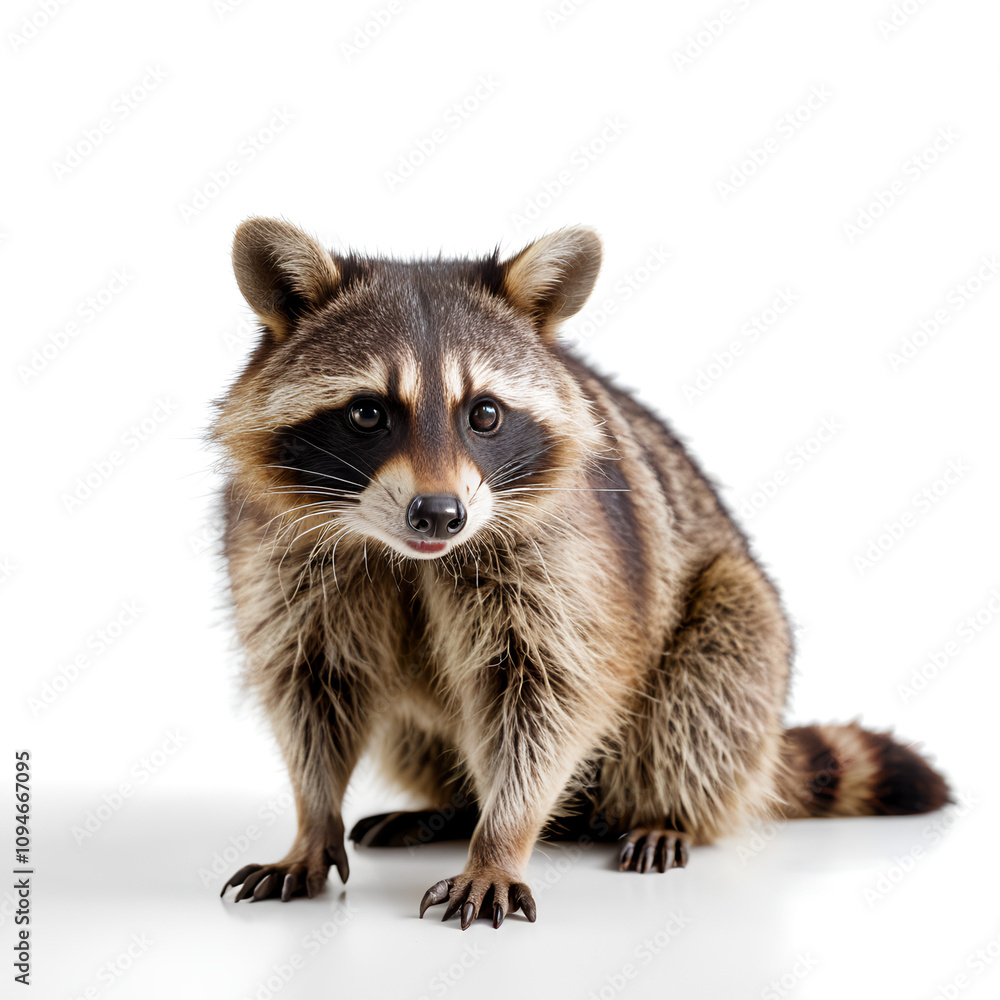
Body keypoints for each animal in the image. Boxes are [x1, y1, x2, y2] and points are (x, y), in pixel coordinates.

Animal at [214, 218, 949, 929]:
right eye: (368, 412)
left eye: (484, 413)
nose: (439, 514)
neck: (411, 554)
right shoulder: (280, 552)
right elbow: (311, 684)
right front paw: (314, 819)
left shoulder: (570, 555)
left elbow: (548, 696)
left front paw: (500, 840)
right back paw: (453, 806)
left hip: (735, 630)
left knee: (718, 672)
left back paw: (665, 813)